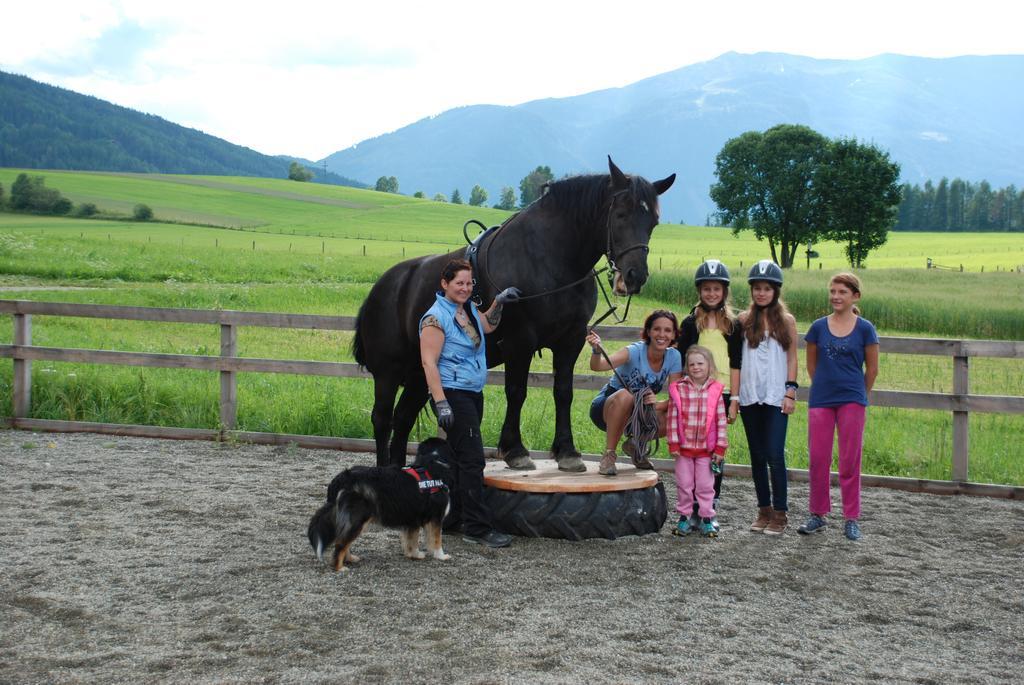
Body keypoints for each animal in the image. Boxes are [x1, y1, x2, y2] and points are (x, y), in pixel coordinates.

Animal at [305, 436, 454, 569]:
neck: (433, 462)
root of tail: (341, 479)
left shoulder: (413, 518)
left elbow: (412, 539)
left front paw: (414, 555)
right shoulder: (436, 517)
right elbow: (436, 539)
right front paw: (441, 556)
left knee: (342, 539)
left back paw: (350, 559)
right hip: (358, 518)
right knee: (341, 542)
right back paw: (339, 567)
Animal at [352, 156, 671, 471]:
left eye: (653, 222)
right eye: (621, 215)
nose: (634, 276)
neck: (551, 258)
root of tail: (382, 287)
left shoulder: (570, 341)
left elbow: (563, 392)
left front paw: (567, 451)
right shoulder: (520, 342)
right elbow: (517, 391)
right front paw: (515, 450)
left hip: (421, 373)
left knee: (403, 418)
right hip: (389, 372)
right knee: (383, 419)